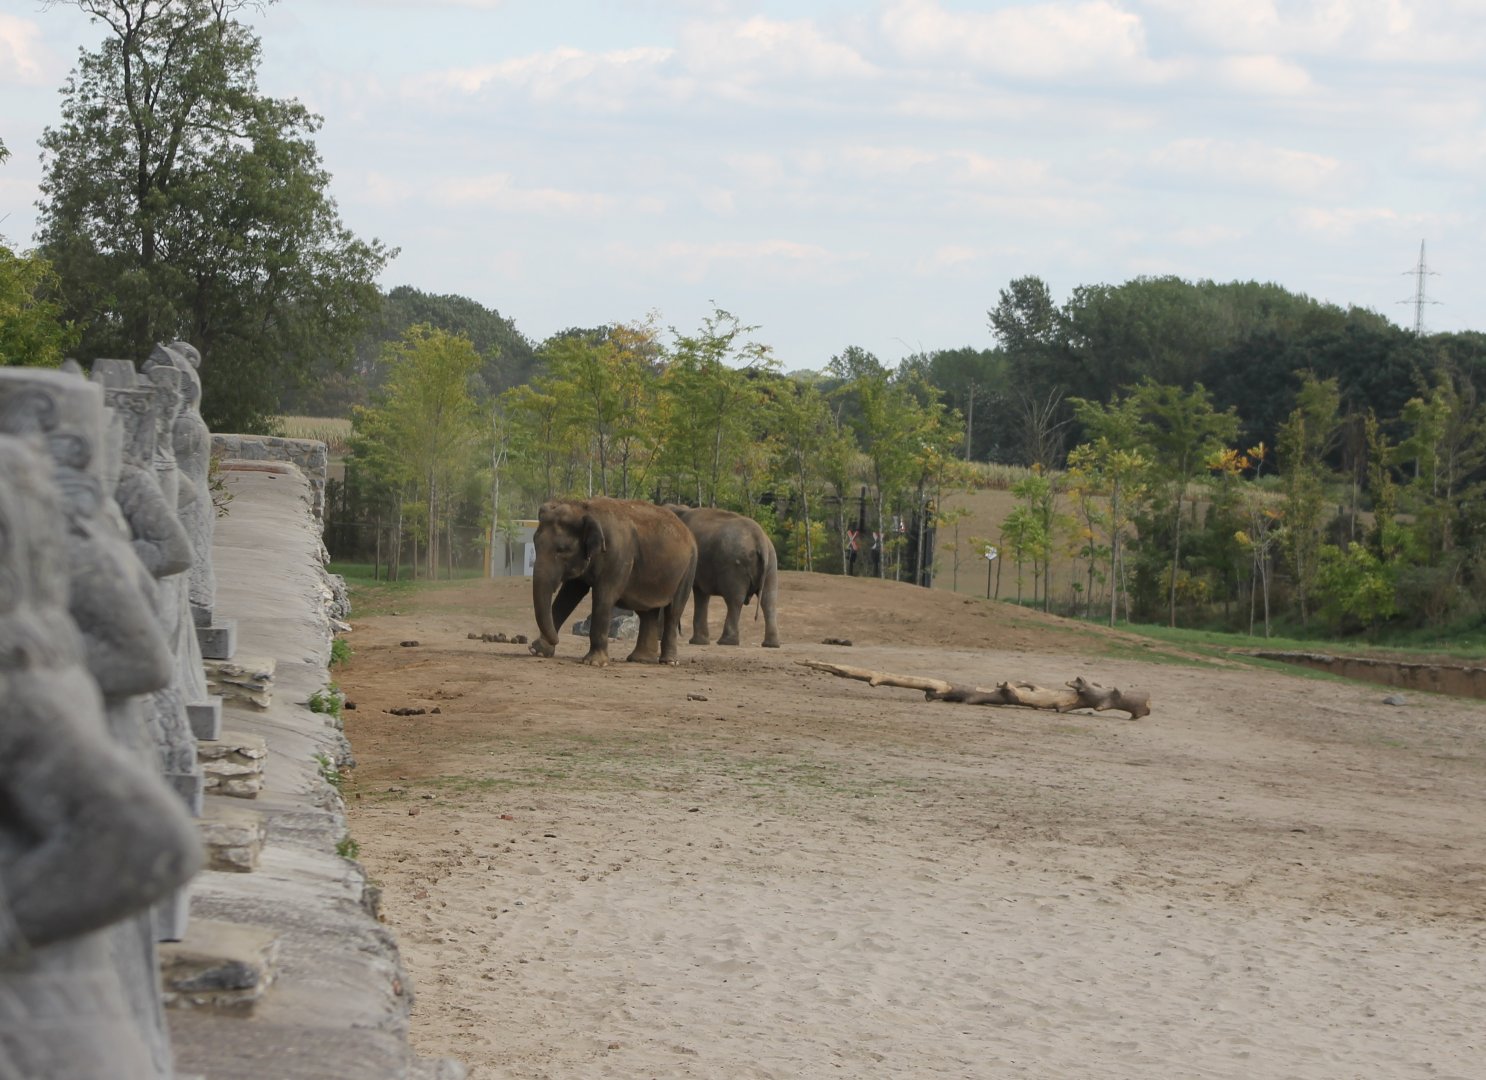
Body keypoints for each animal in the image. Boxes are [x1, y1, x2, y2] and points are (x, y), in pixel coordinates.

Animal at [529, 497, 698, 667]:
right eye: (535, 543)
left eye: (562, 549)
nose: (557, 640)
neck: (584, 508)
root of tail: (688, 532)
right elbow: (569, 595)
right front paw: (539, 651)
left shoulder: (618, 556)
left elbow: (604, 596)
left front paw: (594, 663)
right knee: (648, 612)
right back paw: (640, 659)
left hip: (688, 569)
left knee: (673, 611)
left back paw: (669, 662)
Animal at [666, 505, 780, 648]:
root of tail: (760, 539)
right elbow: (702, 594)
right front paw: (700, 642)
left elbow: (699, 593)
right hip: (771, 563)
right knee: (769, 600)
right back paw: (771, 644)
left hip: (735, 566)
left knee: (735, 600)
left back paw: (726, 642)